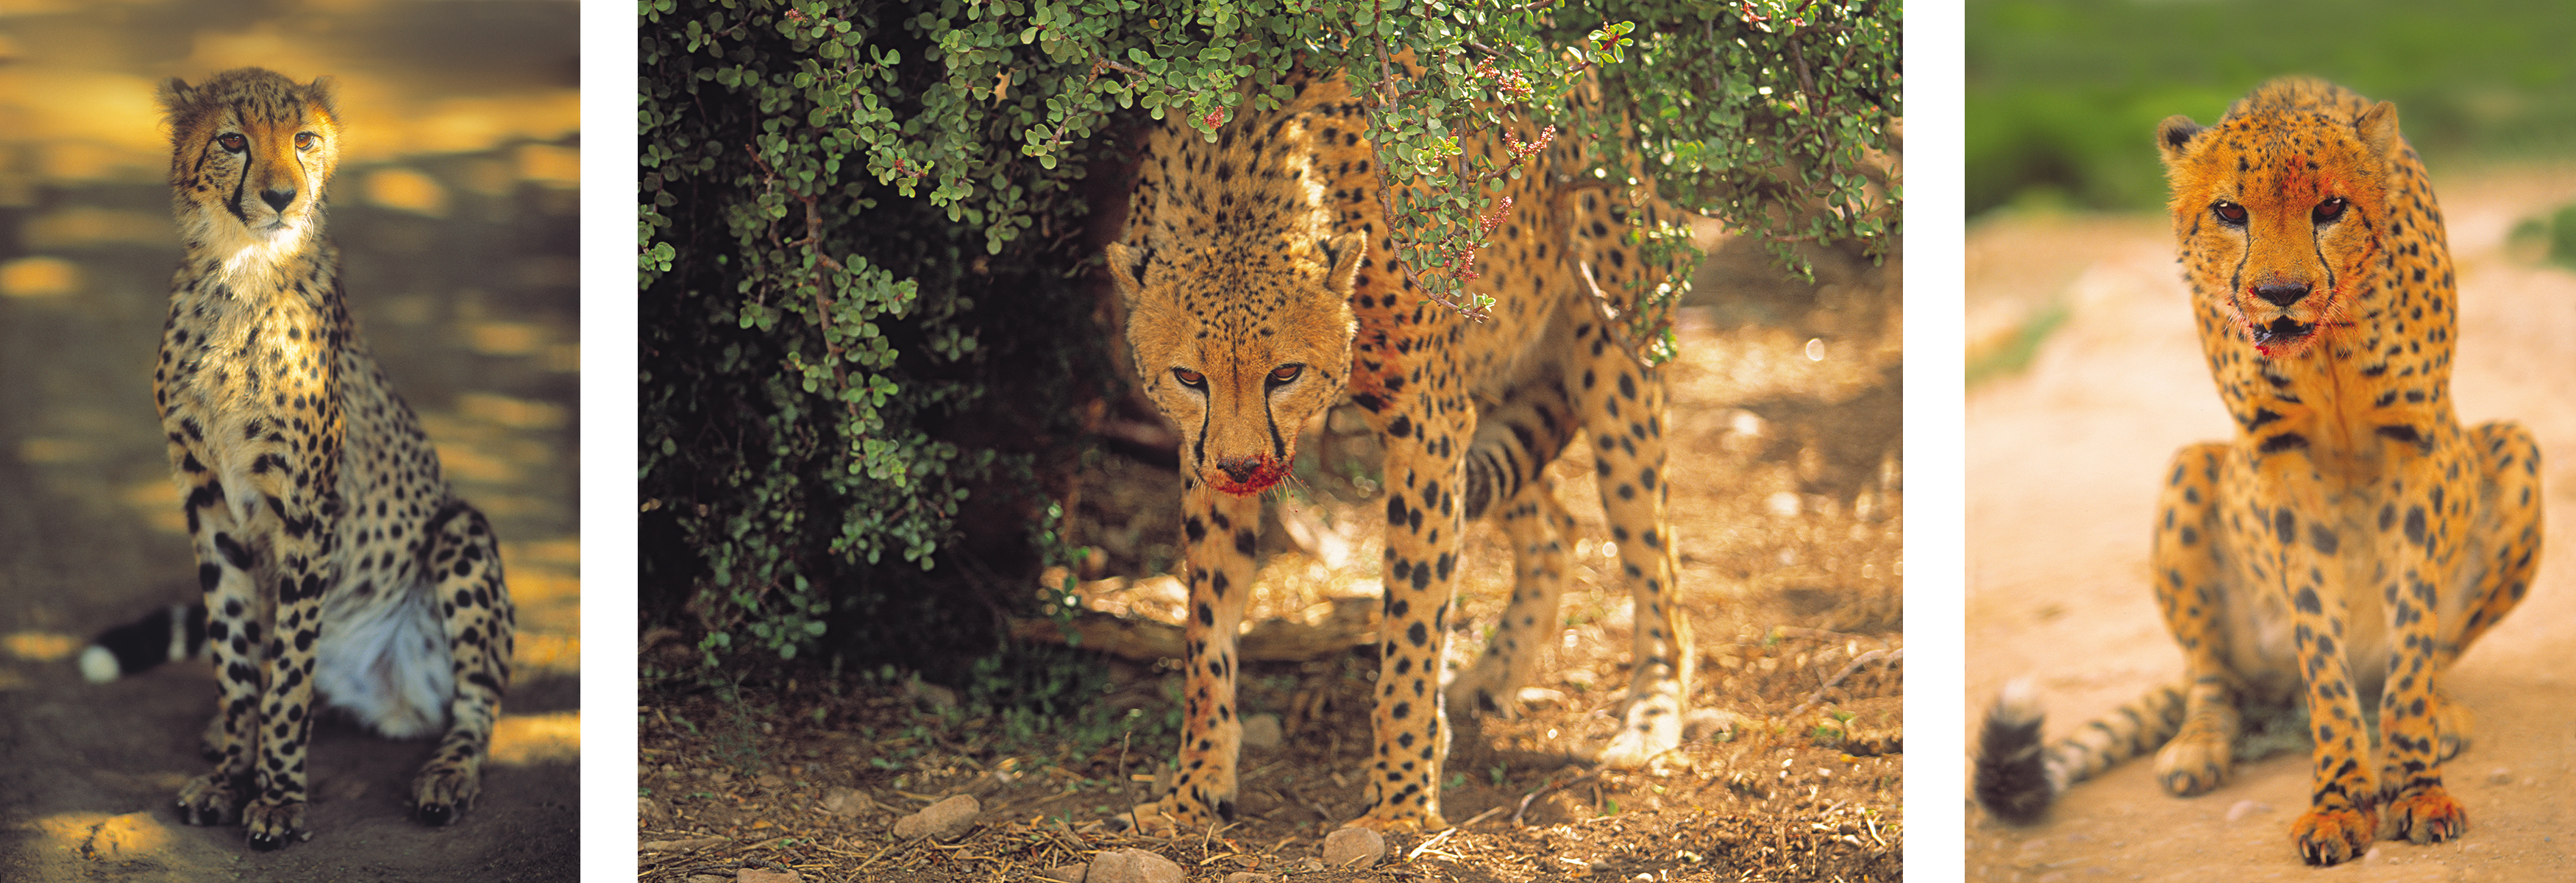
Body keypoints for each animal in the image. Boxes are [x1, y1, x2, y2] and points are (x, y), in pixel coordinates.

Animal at [79, 67, 517, 849]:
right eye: (233, 141)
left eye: (306, 139)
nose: (284, 195)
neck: (241, 270)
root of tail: (385, 698)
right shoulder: (207, 498)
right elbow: (234, 656)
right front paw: (231, 775)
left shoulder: (308, 511)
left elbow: (285, 678)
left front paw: (278, 798)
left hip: (462, 535)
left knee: (474, 707)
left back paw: (446, 775)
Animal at [1102, 64, 1690, 839]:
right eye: (1189, 378)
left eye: (1284, 373)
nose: (1242, 468)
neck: (1243, 188)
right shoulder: (1200, 457)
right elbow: (1207, 625)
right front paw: (1195, 789)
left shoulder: (1426, 423)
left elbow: (1412, 620)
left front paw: (1403, 803)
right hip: (1486, 375)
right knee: (1556, 529)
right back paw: (1492, 678)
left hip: (1613, 359)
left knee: (1657, 561)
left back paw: (1652, 715)